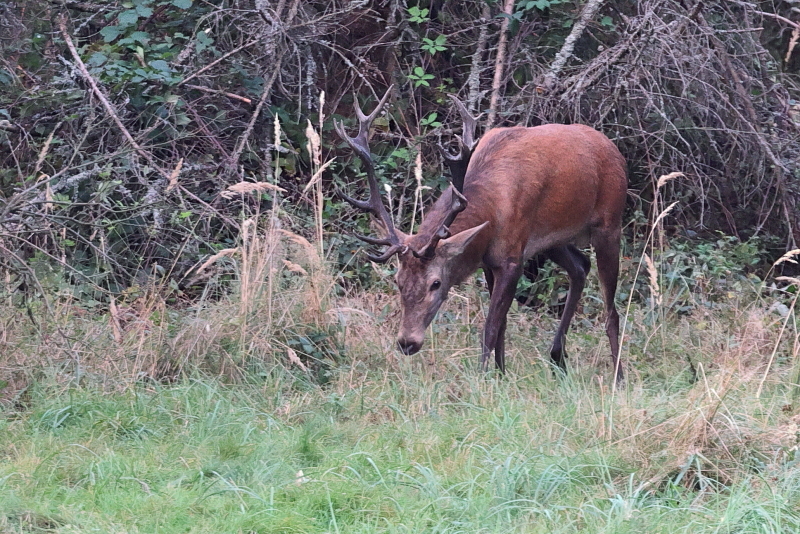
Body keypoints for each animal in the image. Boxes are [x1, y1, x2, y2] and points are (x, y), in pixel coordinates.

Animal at [334, 88, 628, 386]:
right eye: (398, 281)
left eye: (436, 283)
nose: (407, 342)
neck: (493, 207)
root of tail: (613, 149)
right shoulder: (490, 260)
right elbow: (502, 325)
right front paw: (500, 374)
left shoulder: (512, 257)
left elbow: (490, 326)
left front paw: (482, 379)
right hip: (553, 241)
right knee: (580, 266)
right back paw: (557, 356)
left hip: (609, 223)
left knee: (611, 309)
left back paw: (618, 377)